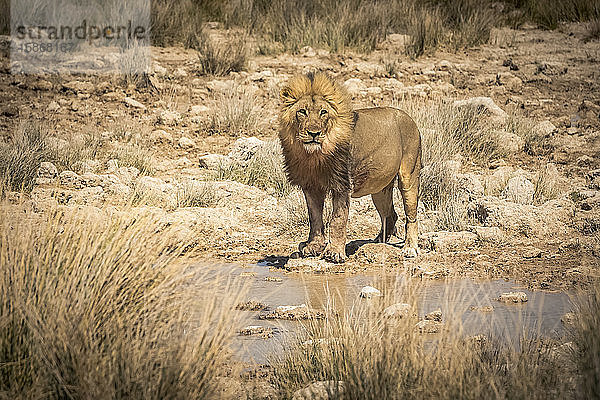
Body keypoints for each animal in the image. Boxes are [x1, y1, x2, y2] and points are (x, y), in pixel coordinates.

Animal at [278, 73, 422, 264]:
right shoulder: (311, 186)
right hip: (379, 189)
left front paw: (335, 253)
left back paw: (410, 248)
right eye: (302, 112)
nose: (314, 133)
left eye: (323, 112)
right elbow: (315, 218)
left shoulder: (342, 185)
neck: (313, 156)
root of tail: (409, 117)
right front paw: (313, 247)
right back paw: (377, 241)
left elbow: (337, 220)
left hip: (409, 175)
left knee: (411, 215)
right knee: (390, 215)